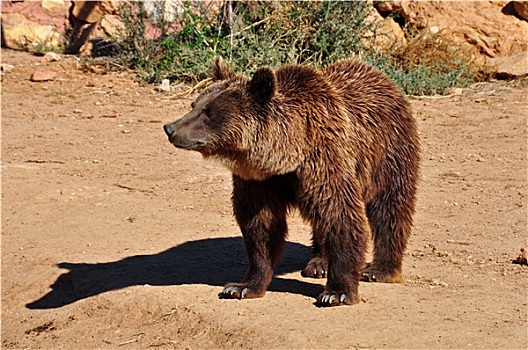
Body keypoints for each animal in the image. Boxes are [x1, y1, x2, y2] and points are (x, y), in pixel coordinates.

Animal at [163, 56, 418, 306]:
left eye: (209, 111)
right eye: (194, 104)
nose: (170, 128)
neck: (287, 155)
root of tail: (379, 75)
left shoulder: (324, 162)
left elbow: (339, 216)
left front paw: (337, 292)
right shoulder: (259, 181)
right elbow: (261, 229)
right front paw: (242, 286)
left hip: (389, 151)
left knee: (390, 208)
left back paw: (379, 269)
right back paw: (319, 263)